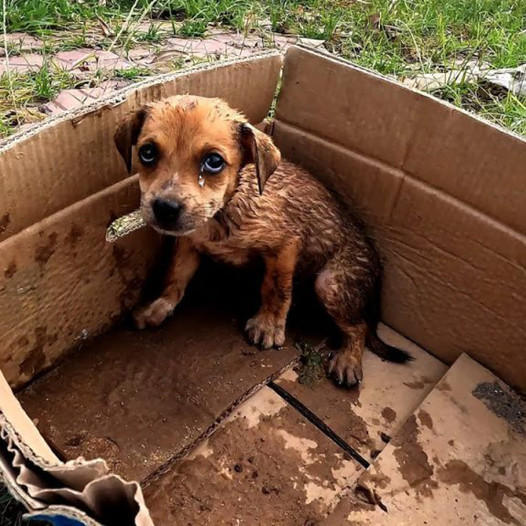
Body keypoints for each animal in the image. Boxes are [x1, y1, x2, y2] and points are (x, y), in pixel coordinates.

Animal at [114, 95, 412, 388]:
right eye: (147, 153)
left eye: (213, 162)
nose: (165, 208)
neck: (222, 212)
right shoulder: (188, 243)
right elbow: (174, 277)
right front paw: (158, 306)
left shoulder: (285, 246)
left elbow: (275, 289)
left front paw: (269, 325)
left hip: (331, 284)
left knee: (359, 326)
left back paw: (348, 359)